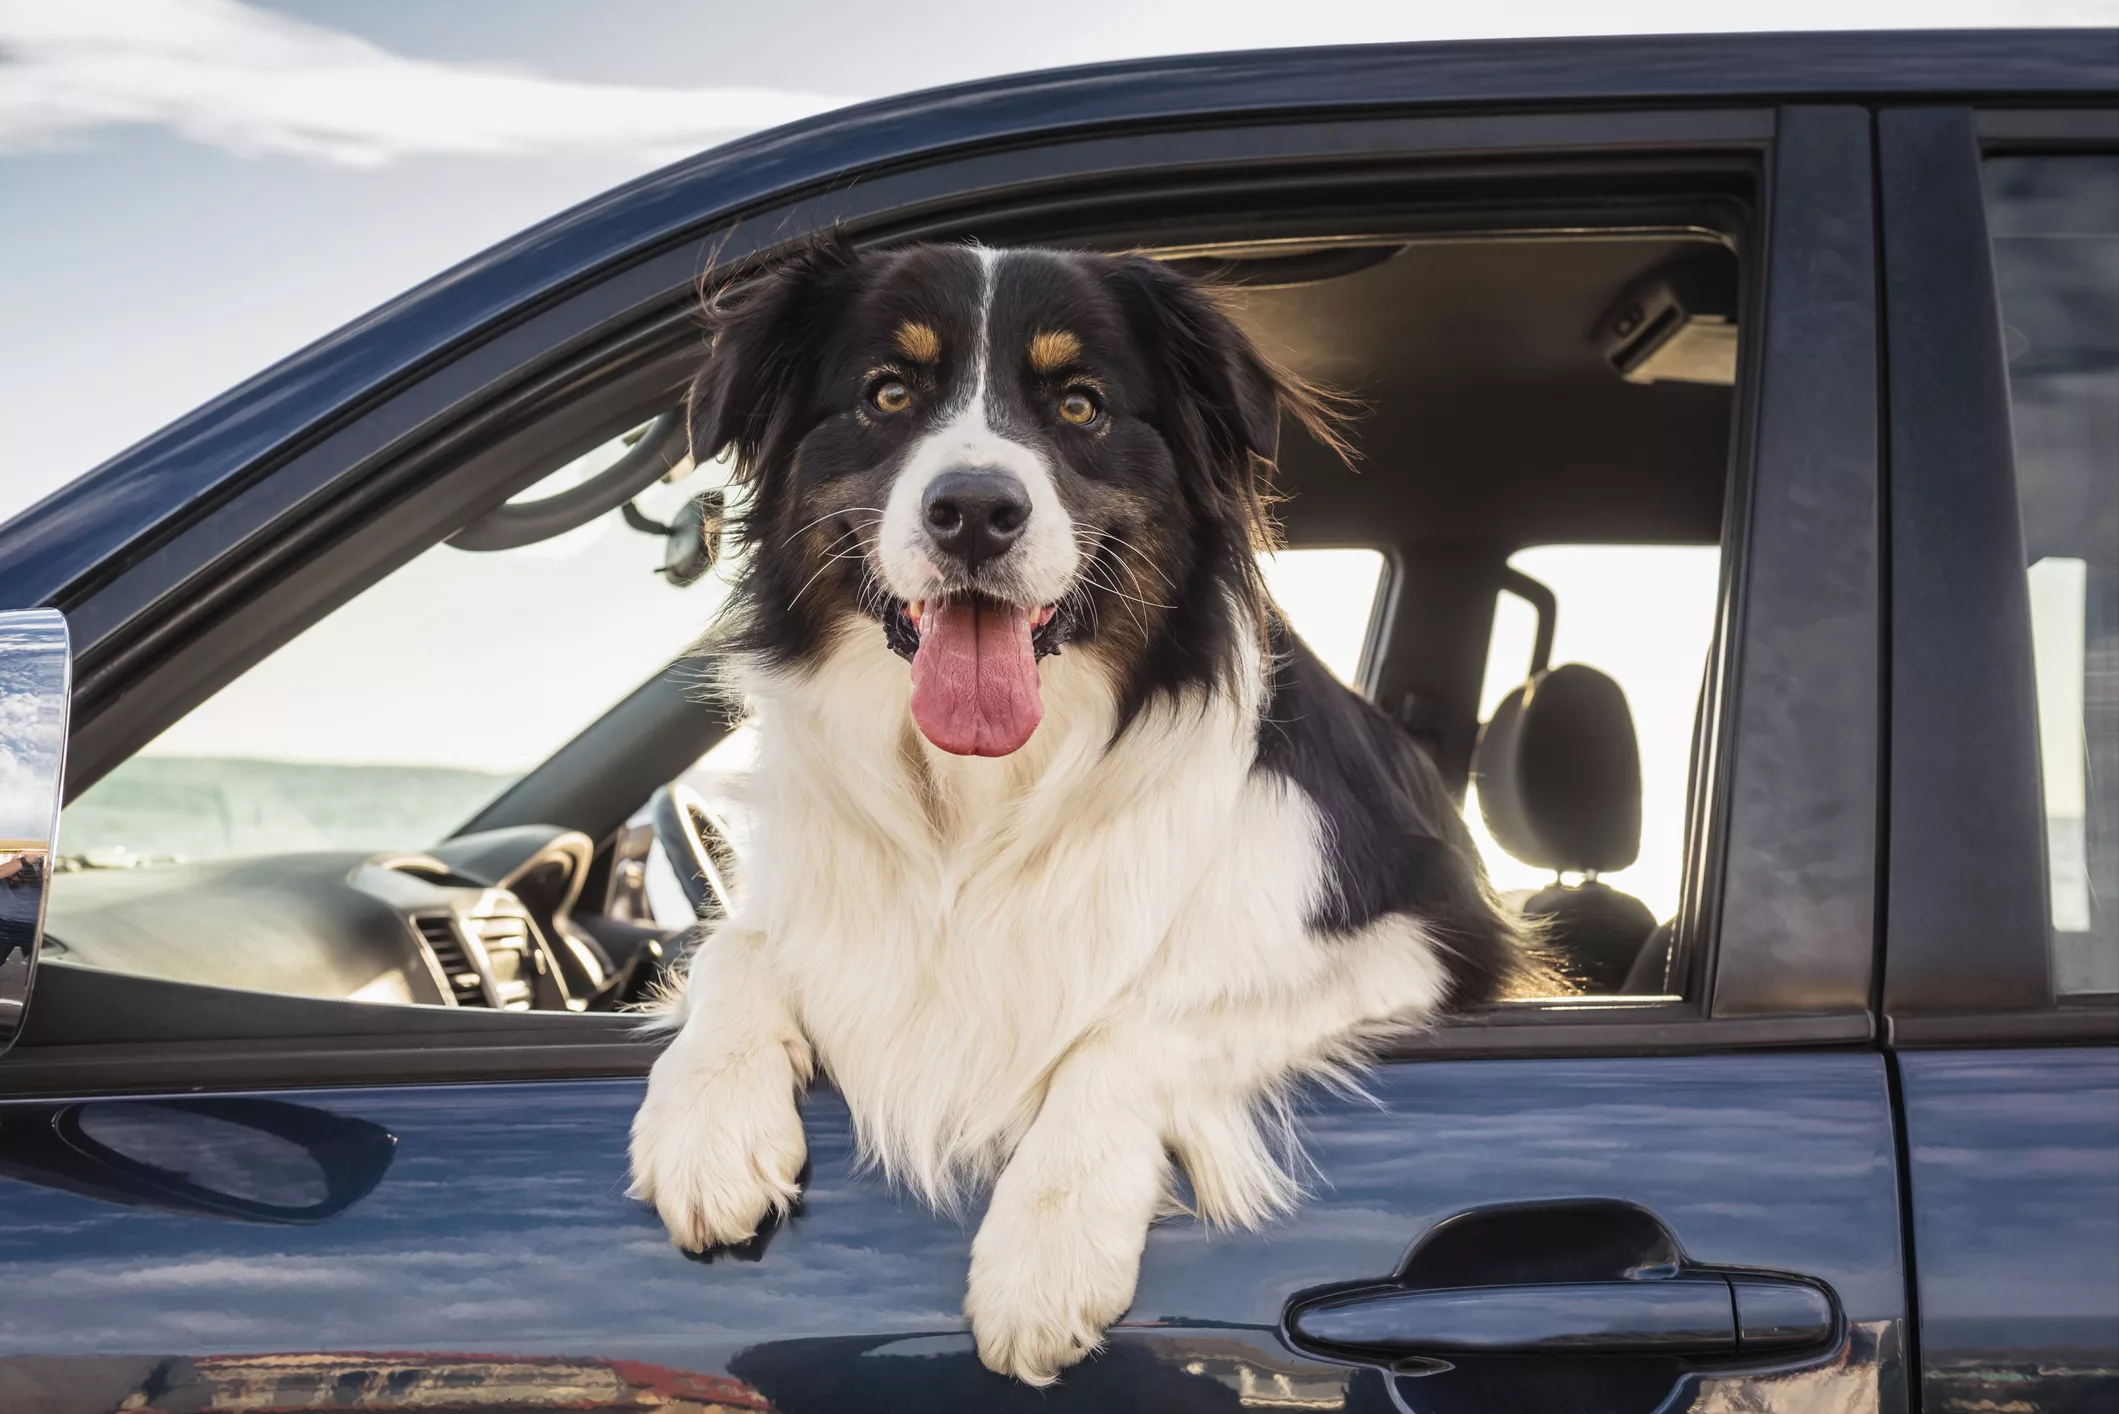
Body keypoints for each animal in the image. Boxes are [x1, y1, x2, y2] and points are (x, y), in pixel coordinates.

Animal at [618, 240, 1534, 1382]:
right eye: (888, 393)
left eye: (1080, 404)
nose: (973, 510)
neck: (980, 799)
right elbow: (737, 947)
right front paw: (705, 1126)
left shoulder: (1420, 943)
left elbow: (1138, 1024)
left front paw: (1044, 1248)